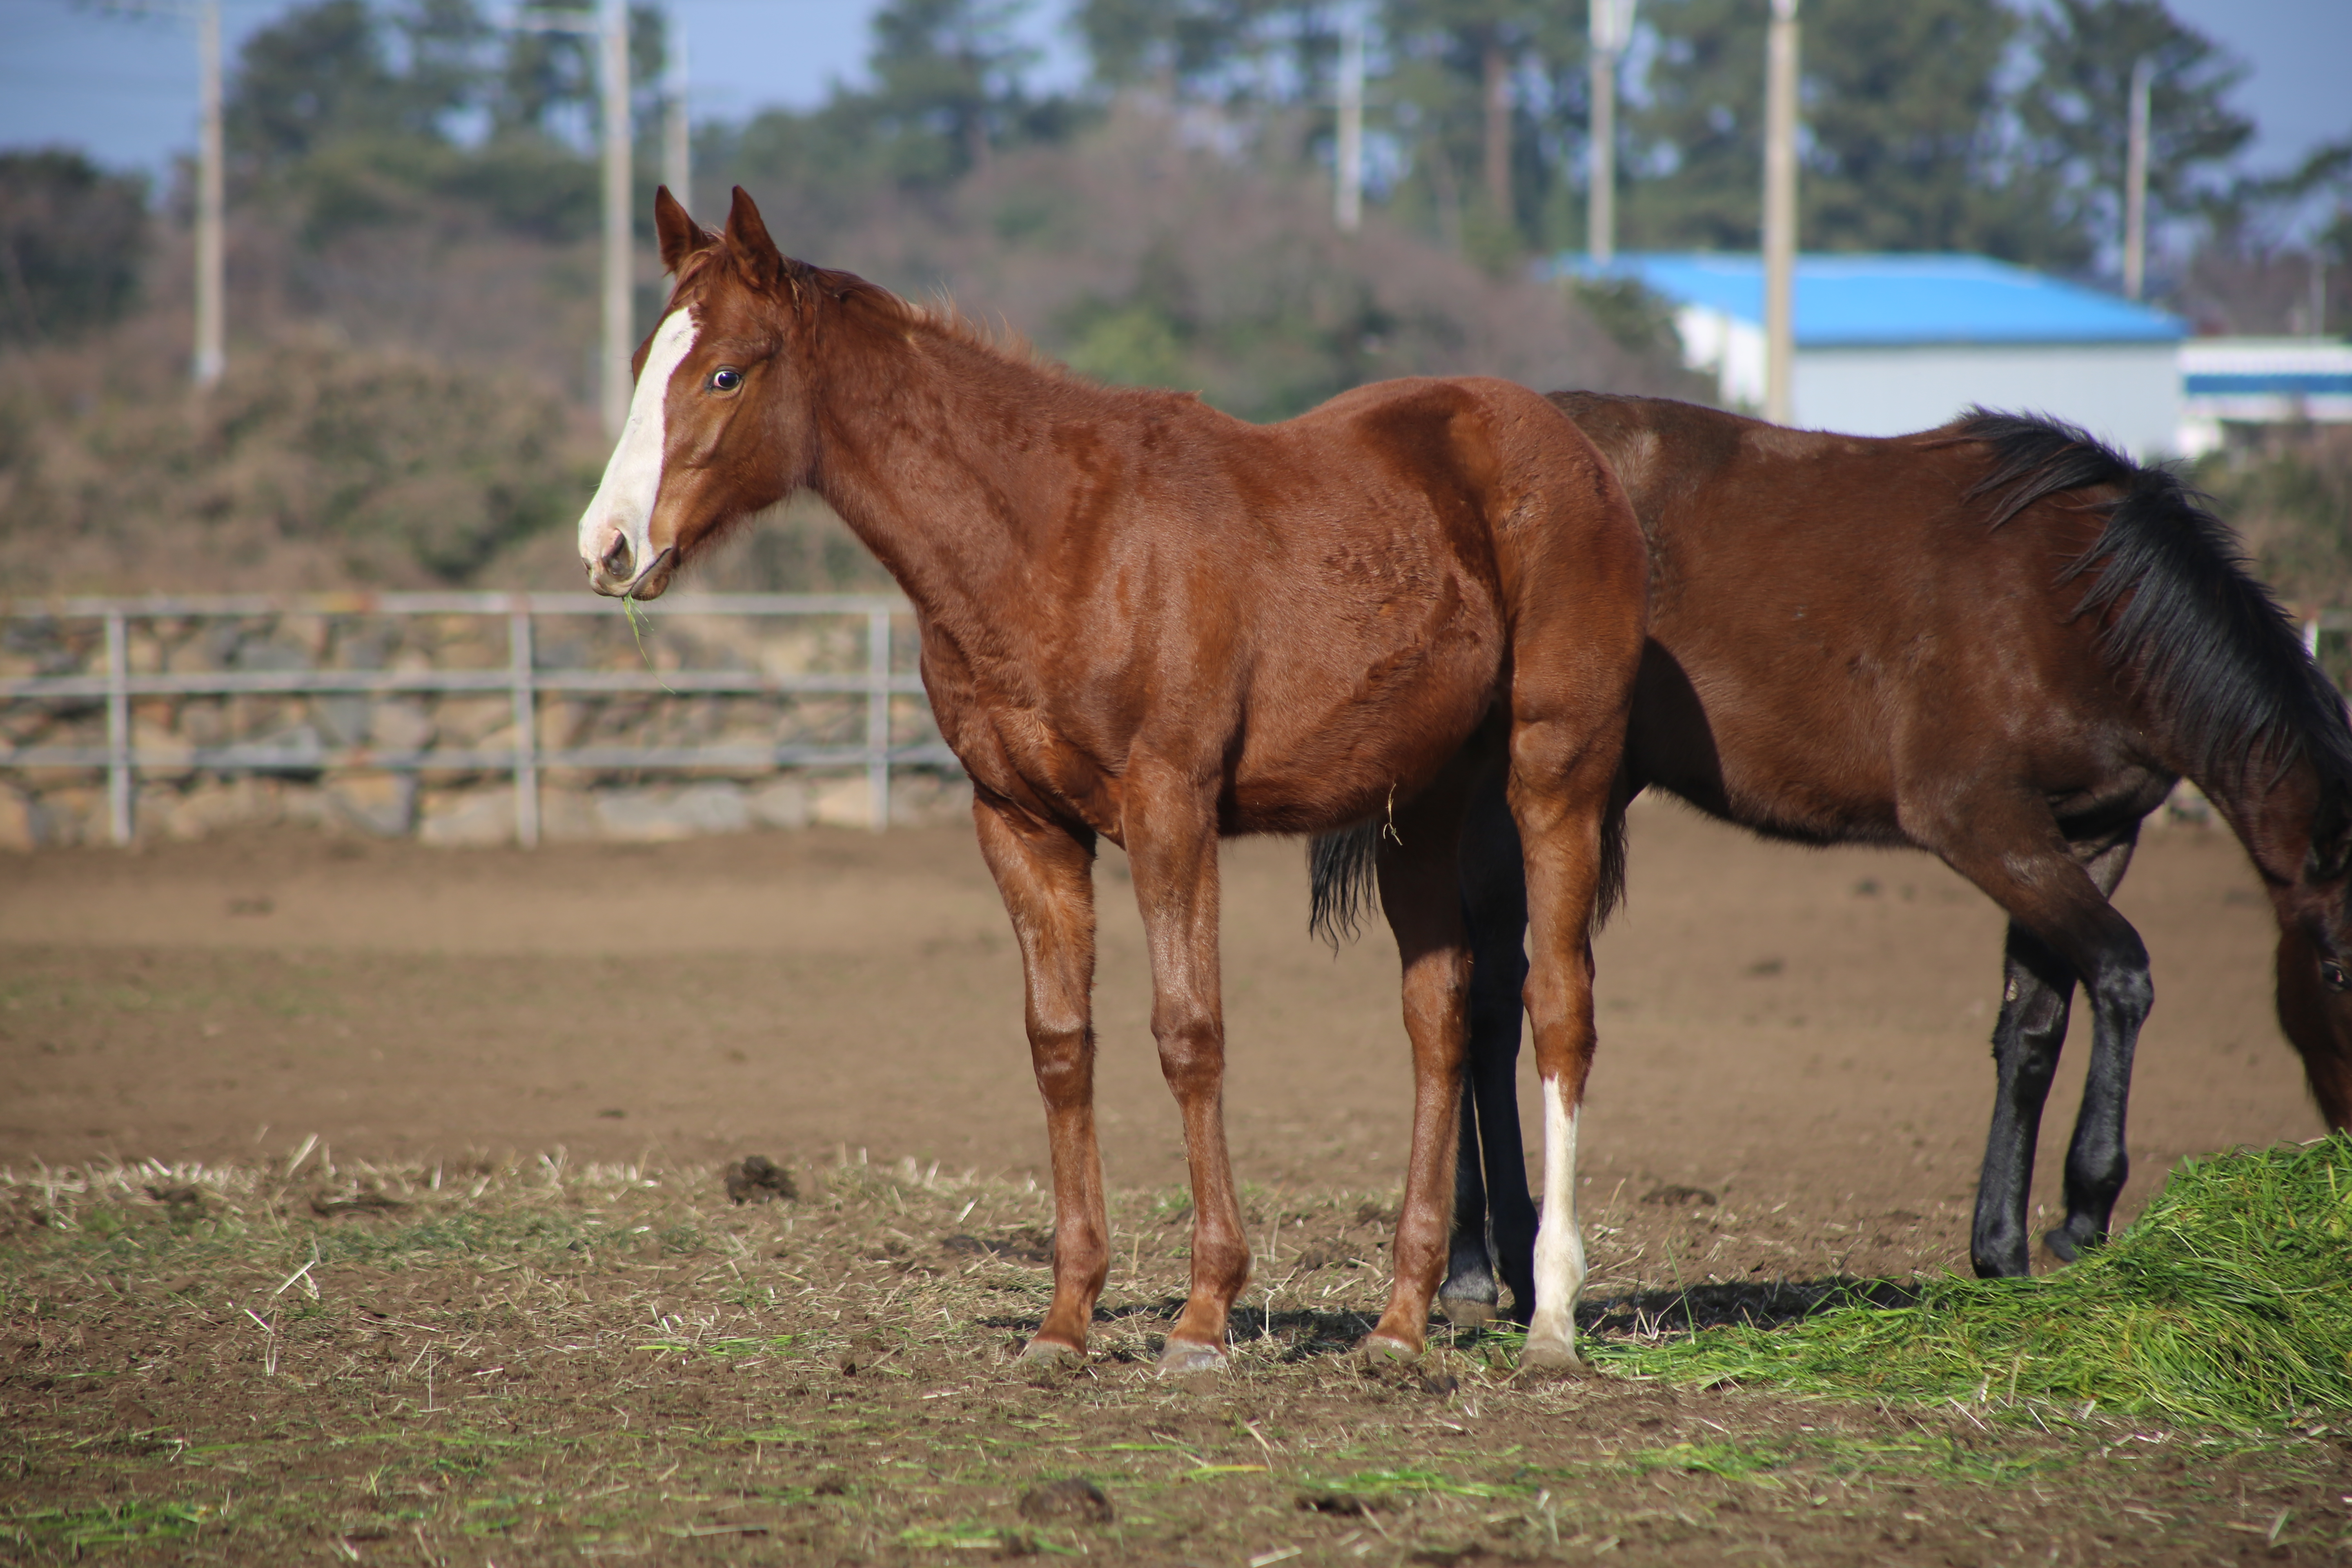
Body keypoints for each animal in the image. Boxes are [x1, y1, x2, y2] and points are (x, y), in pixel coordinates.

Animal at [569, 190, 1646, 1373]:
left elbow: (1188, 1033)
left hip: (1554, 778)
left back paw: (1551, 1316)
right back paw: (1400, 1320)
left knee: (1559, 1007)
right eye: (641, 361)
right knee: (1438, 1020)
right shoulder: (1021, 823)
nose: (606, 546)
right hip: (1422, 807)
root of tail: (1572, 451)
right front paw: (1065, 1316)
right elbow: (1059, 1044)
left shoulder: (1170, 807)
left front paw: (1204, 1314)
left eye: (724, 373)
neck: (1057, 540)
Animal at [1317, 395, 2352, 1326]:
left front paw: (2001, 1251)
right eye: (2337, 968)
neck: (2076, 602)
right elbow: (2123, 974)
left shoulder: (2089, 838)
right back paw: (1481, 1265)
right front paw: (2084, 1209)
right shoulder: (1981, 822)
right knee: (1490, 1003)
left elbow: (2033, 1028)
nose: (2343, 1143)